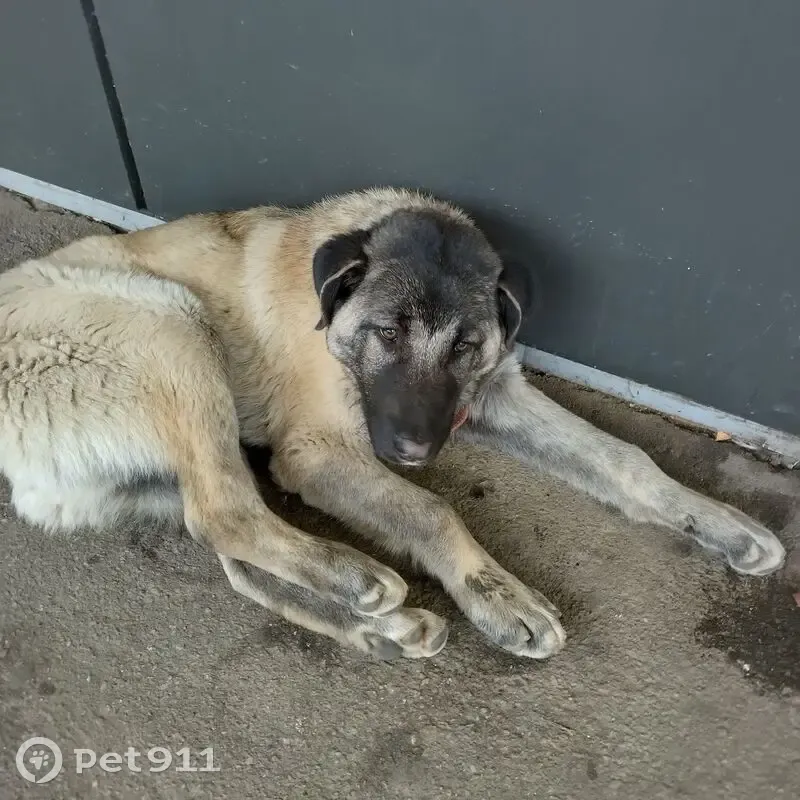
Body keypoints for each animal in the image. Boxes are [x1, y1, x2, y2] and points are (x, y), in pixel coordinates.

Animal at [0, 188, 785, 660]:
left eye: (464, 347)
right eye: (387, 332)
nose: (412, 448)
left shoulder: (490, 393)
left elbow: (623, 459)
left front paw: (719, 523)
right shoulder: (314, 452)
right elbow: (431, 509)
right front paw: (497, 594)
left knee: (229, 549)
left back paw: (387, 630)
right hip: (169, 320)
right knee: (226, 511)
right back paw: (364, 584)